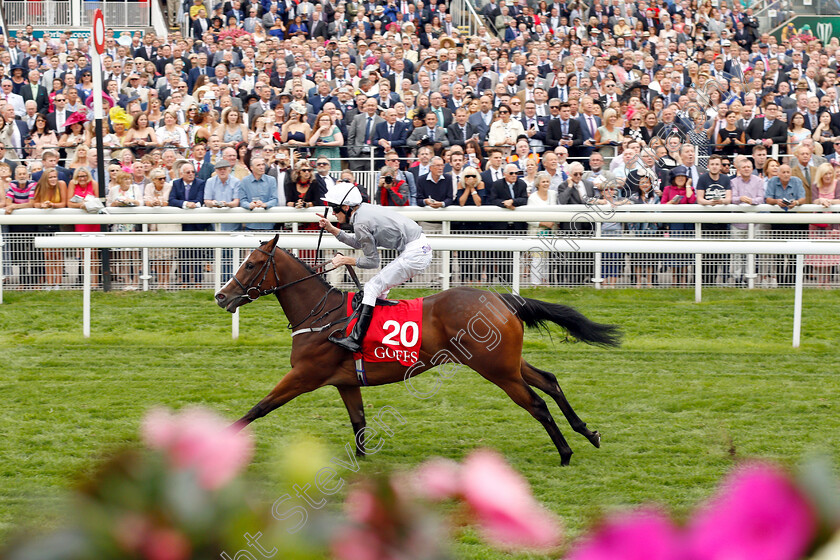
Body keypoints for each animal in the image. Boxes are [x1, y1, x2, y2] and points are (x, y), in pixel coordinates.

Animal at [215, 234, 624, 466]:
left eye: (252, 264)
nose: (221, 296)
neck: (322, 315)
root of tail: (501, 299)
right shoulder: (345, 382)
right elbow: (359, 422)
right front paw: (362, 462)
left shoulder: (303, 375)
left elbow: (258, 408)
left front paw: (222, 440)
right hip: (508, 362)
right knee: (550, 381)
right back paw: (587, 433)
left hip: (496, 369)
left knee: (537, 403)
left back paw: (566, 453)